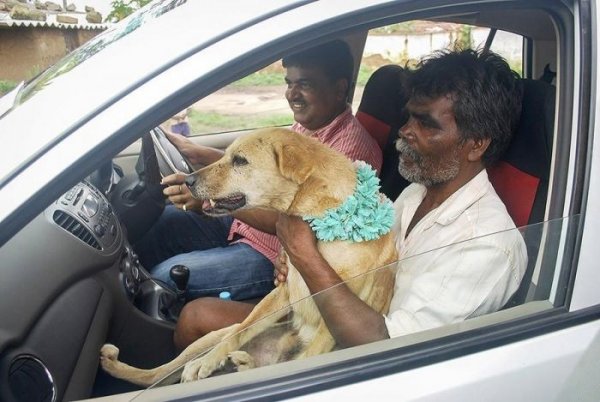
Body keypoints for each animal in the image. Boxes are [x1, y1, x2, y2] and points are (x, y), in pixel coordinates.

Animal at [99, 129, 398, 386]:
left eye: (240, 161)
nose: (188, 180)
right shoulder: (282, 292)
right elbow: (242, 330)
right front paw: (209, 362)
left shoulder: (332, 322)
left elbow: (310, 355)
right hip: (209, 337)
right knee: (158, 373)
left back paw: (245, 365)